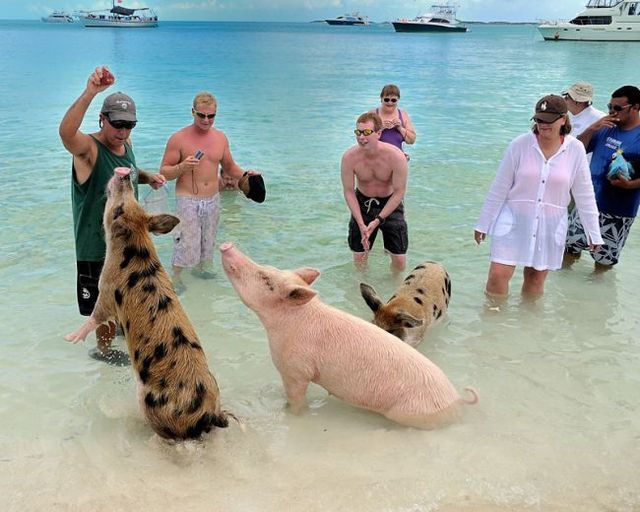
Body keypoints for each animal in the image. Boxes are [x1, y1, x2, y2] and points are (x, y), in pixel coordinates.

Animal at [65, 167, 230, 440]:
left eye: (119, 207)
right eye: (132, 199)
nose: (124, 174)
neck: (134, 250)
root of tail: (209, 414)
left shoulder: (107, 286)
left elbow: (97, 314)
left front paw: (70, 338)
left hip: (149, 402)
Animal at [220, 243, 477, 429]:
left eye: (266, 280)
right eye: (269, 270)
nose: (226, 245)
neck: (284, 324)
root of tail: (457, 400)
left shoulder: (295, 370)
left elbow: (296, 400)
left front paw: (290, 415)